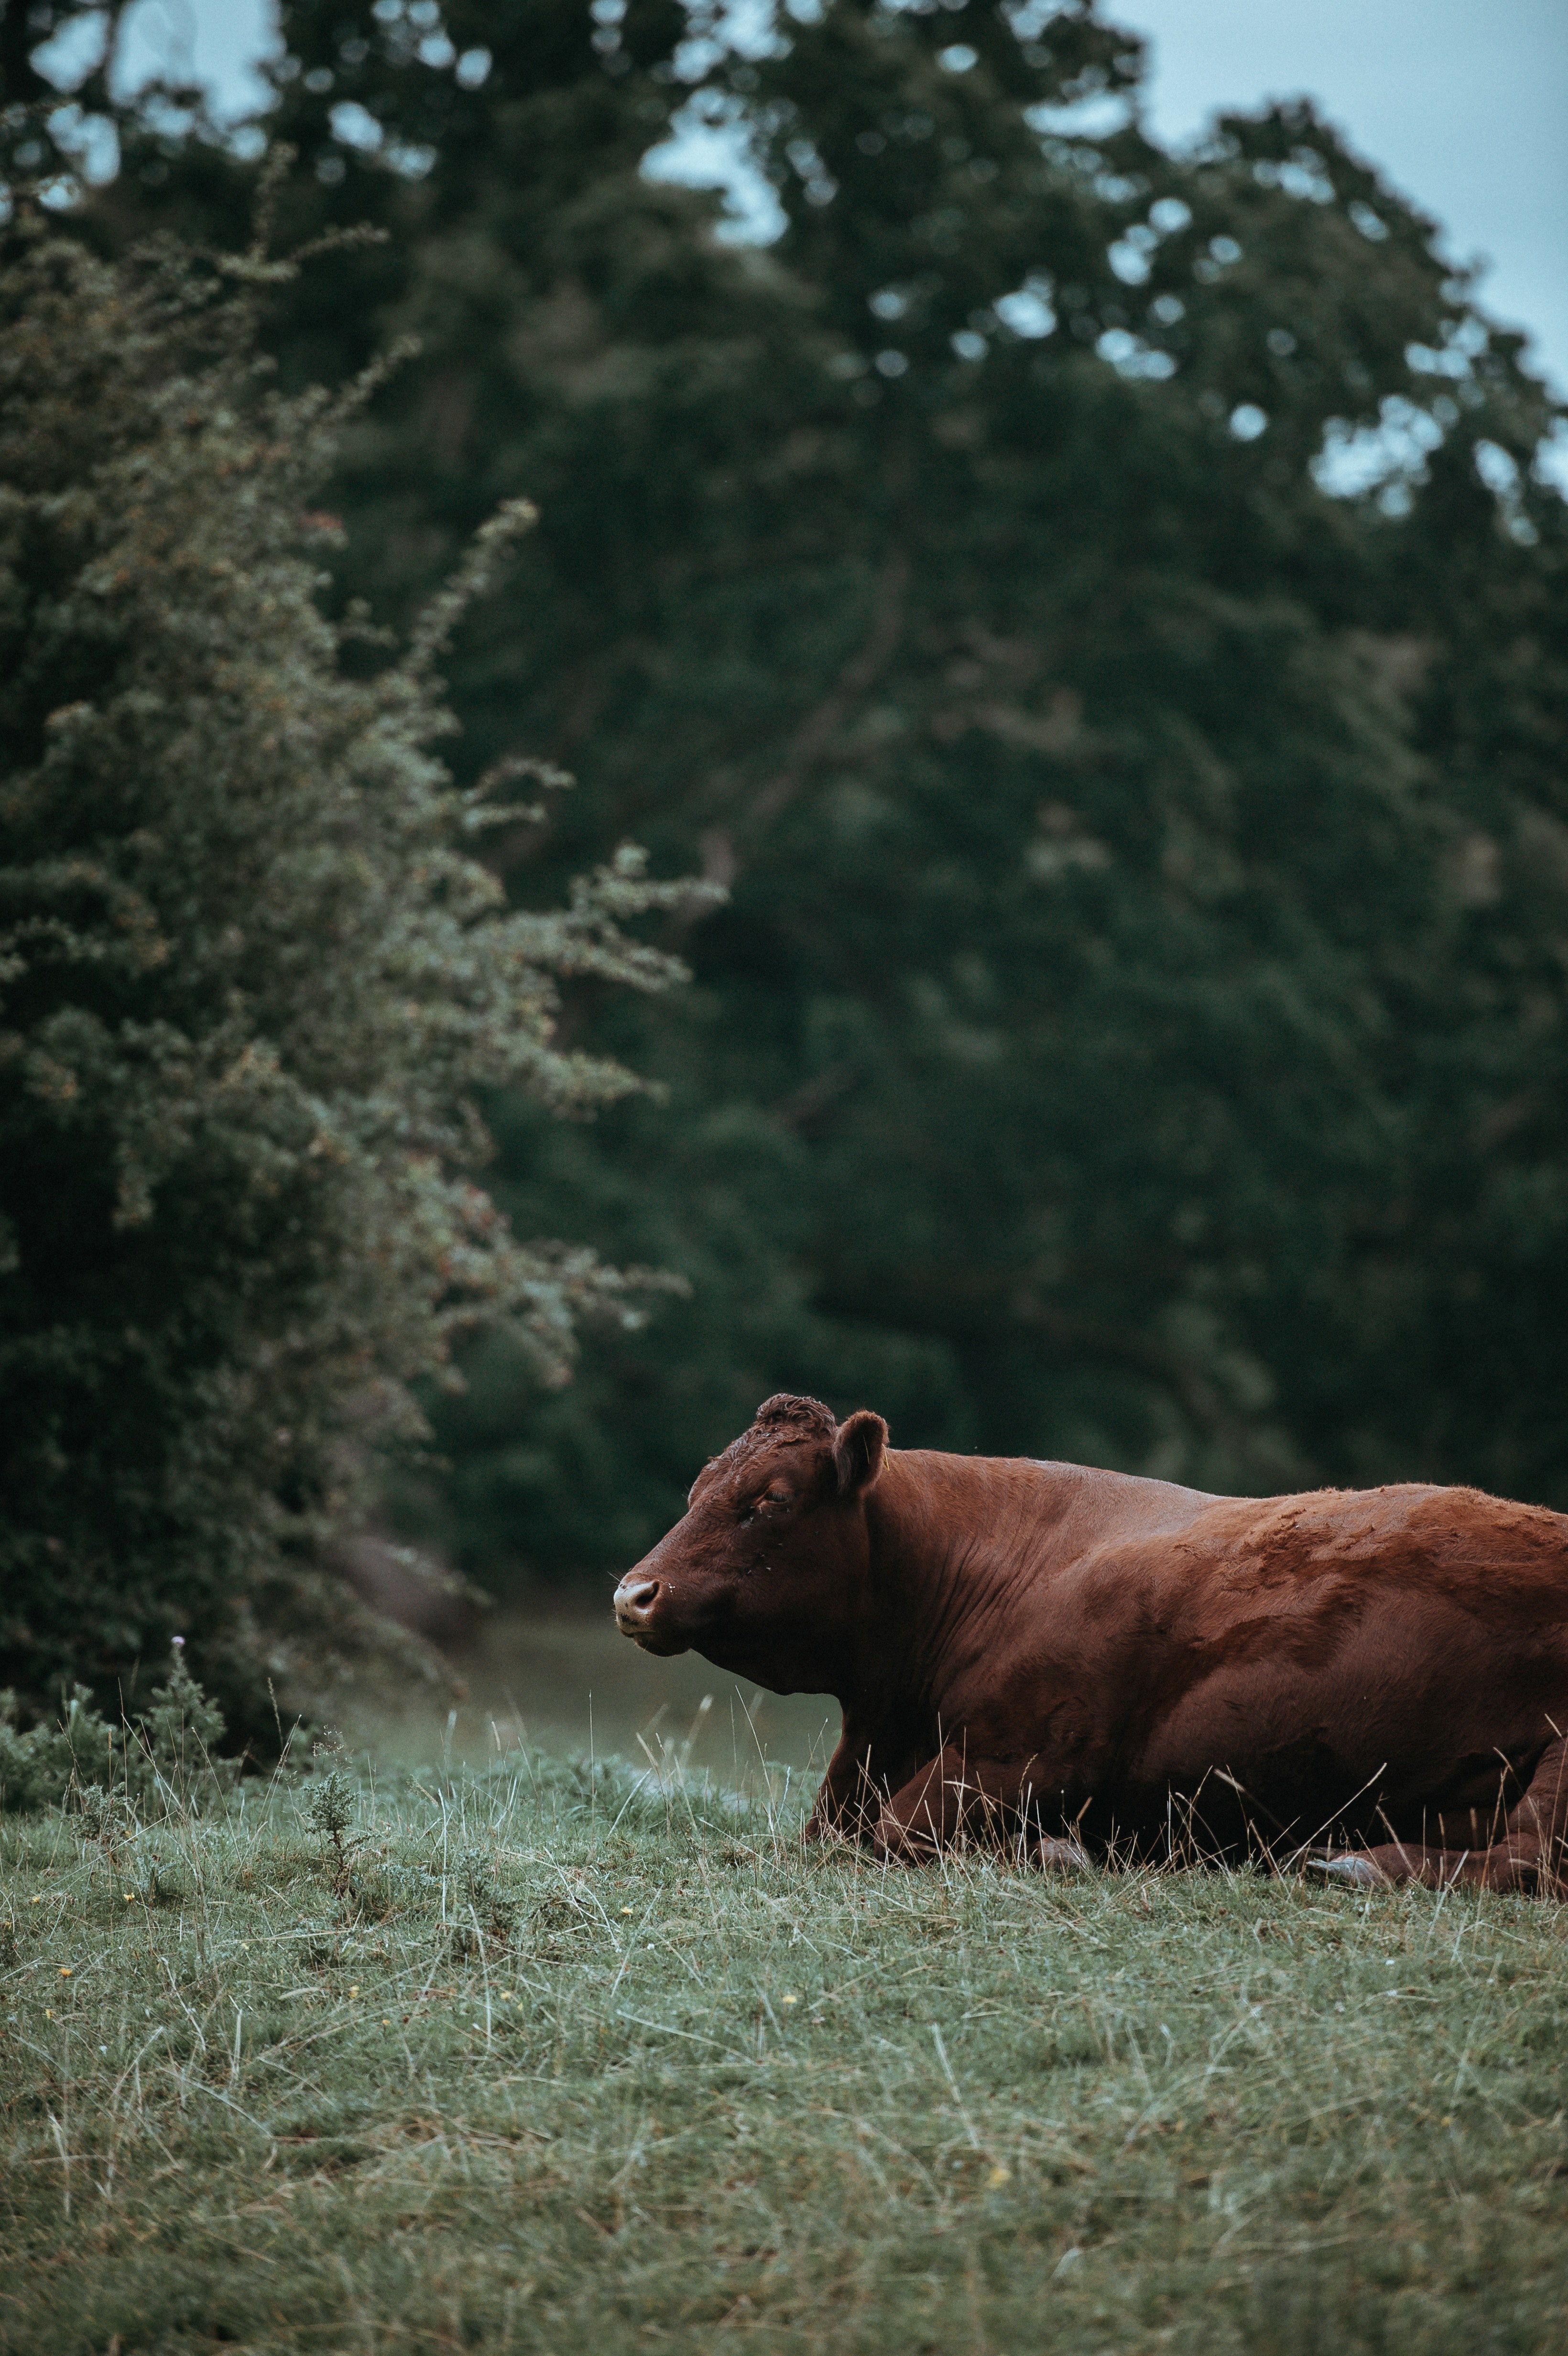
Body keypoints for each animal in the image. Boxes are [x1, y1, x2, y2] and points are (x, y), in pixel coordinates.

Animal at [612, 1393, 1568, 1893]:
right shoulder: (878, 1747)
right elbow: (838, 1827)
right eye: (698, 1487)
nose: (633, 1593)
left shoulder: (1012, 1758)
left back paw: (1353, 1864)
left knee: (1531, 1856)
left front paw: (1059, 1849)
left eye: (770, 1499)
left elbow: (892, 1832)